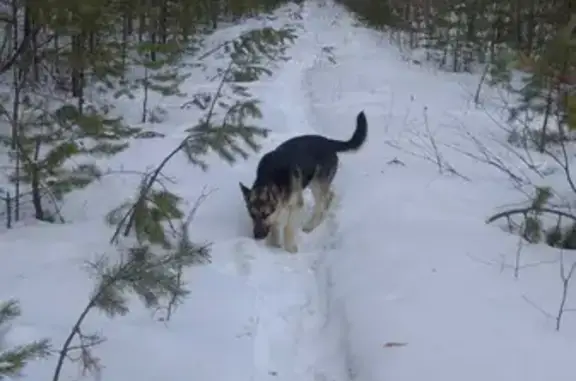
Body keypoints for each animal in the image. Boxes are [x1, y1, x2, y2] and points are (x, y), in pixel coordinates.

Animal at [240, 110, 368, 252]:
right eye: (252, 215)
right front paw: (274, 246)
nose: (257, 237)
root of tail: (328, 142)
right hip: (313, 182)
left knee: (324, 200)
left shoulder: (296, 204)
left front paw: (290, 248)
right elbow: (276, 224)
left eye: (265, 215)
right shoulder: (279, 207)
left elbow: (288, 227)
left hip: (317, 184)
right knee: (329, 197)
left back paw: (312, 224)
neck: (271, 177)